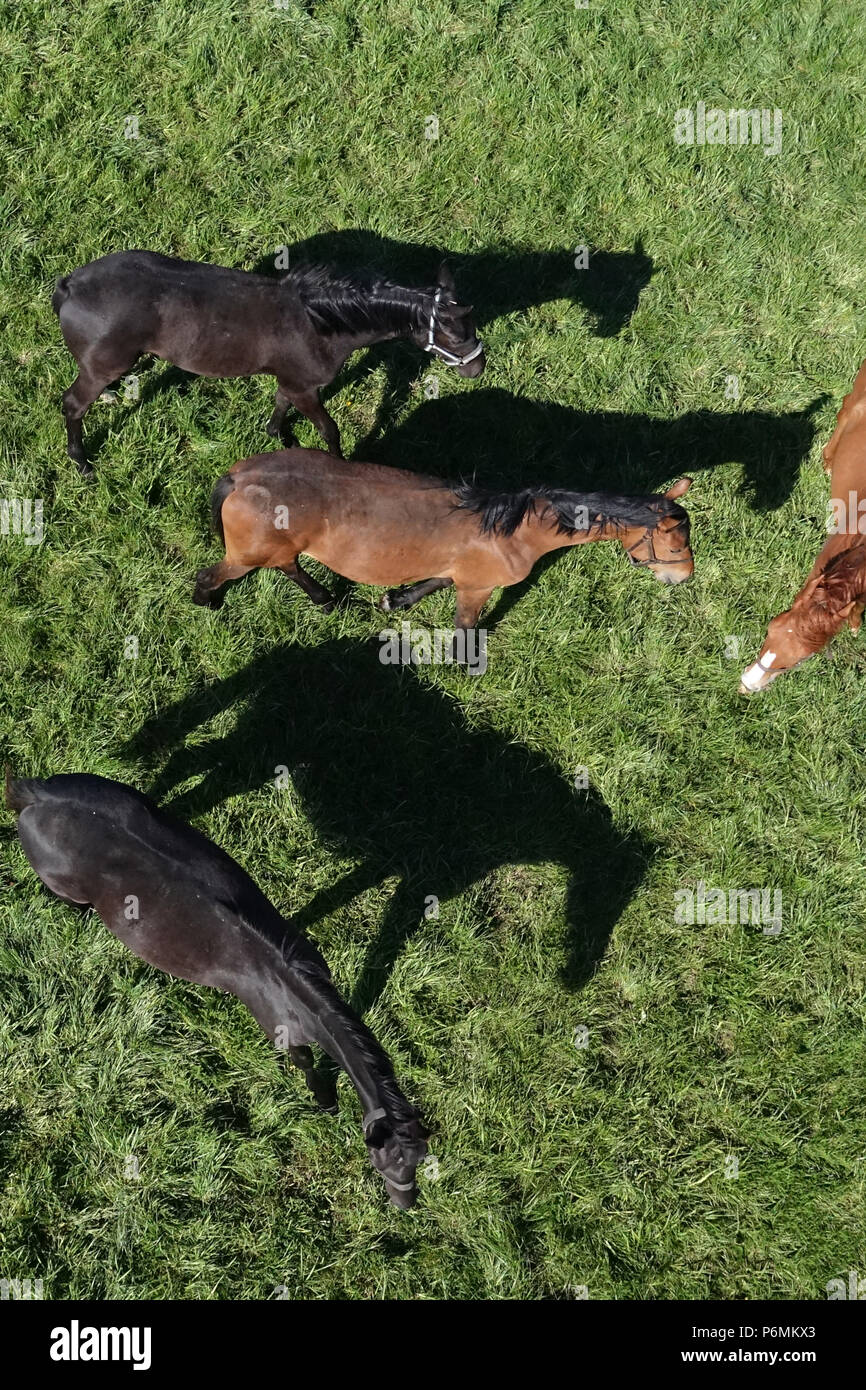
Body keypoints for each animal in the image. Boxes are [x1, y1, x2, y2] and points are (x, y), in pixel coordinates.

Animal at [5, 772, 428, 1206]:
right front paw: (324, 1099)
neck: (287, 984)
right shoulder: (282, 1033)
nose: (406, 1203)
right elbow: (305, 1063)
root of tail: (38, 796)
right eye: (384, 1163)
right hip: (62, 887)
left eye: (420, 1161)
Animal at [52, 255, 489, 478]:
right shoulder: (306, 388)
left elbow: (280, 405)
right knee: (73, 406)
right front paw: (340, 465)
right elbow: (329, 430)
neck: (320, 321)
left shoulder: (291, 381)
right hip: (102, 369)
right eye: (455, 336)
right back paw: (81, 461)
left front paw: (279, 435)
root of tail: (70, 285)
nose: (478, 367)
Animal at [193, 444, 695, 631]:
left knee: (289, 566)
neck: (515, 532)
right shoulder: (478, 586)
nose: (685, 578)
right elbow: (465, 625)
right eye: (676, 545)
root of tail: (240, 478)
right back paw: (207, 603)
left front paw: (396, 600)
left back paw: (325, 599)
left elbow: (433, 581)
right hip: (247, 555)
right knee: (214, 575)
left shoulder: (461, 571)